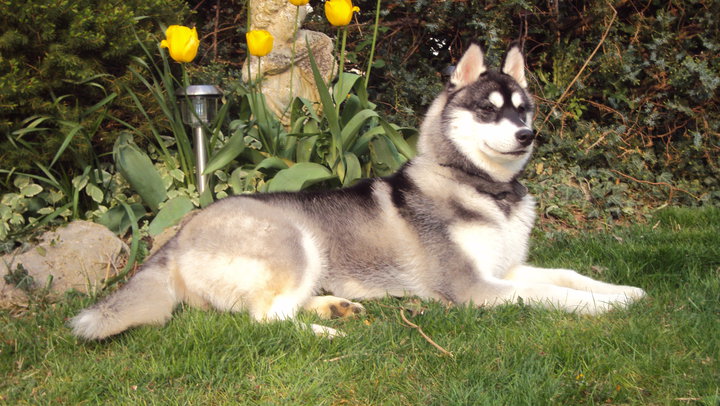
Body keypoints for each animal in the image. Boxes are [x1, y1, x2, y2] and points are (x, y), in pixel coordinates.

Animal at [71, 43, 646, 341]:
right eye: (489, 110)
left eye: (522, 109)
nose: (529, 134)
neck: (485, 189)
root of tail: (179, 233)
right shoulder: (472, 288)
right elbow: (553, 294)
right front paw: (602, 308)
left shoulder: (503, 269)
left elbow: (568, 275)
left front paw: (621, 291)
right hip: (296, 240)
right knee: (263, 321)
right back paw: (325, 333)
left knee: (279, 309)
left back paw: (334, 310)